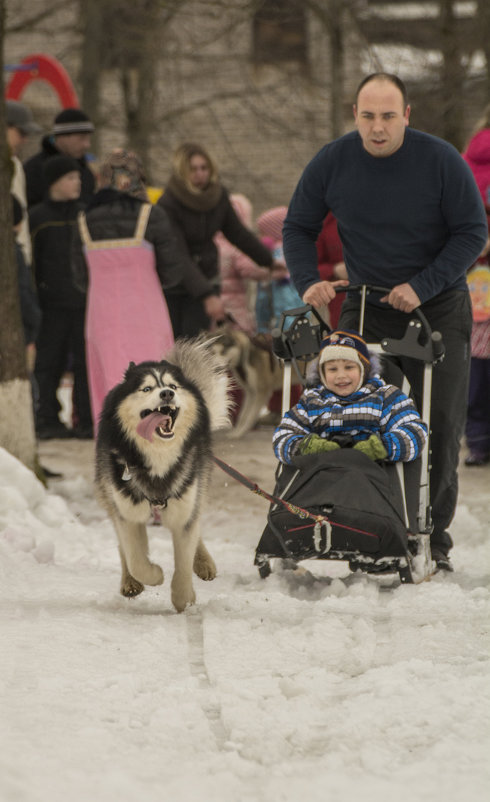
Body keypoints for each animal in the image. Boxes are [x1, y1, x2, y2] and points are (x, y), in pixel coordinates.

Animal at [97, 336, 232, 608]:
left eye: (172, 386)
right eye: (147, 389)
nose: (167, 393)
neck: (159, 456)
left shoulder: (184, 508)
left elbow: (184, 555)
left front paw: (183, 597)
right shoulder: (128, 513)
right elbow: (136, 559)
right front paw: (154, 575)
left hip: (198, 483)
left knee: (196, 522)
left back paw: (203, 563)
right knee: (122, 545)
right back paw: (129, 581)